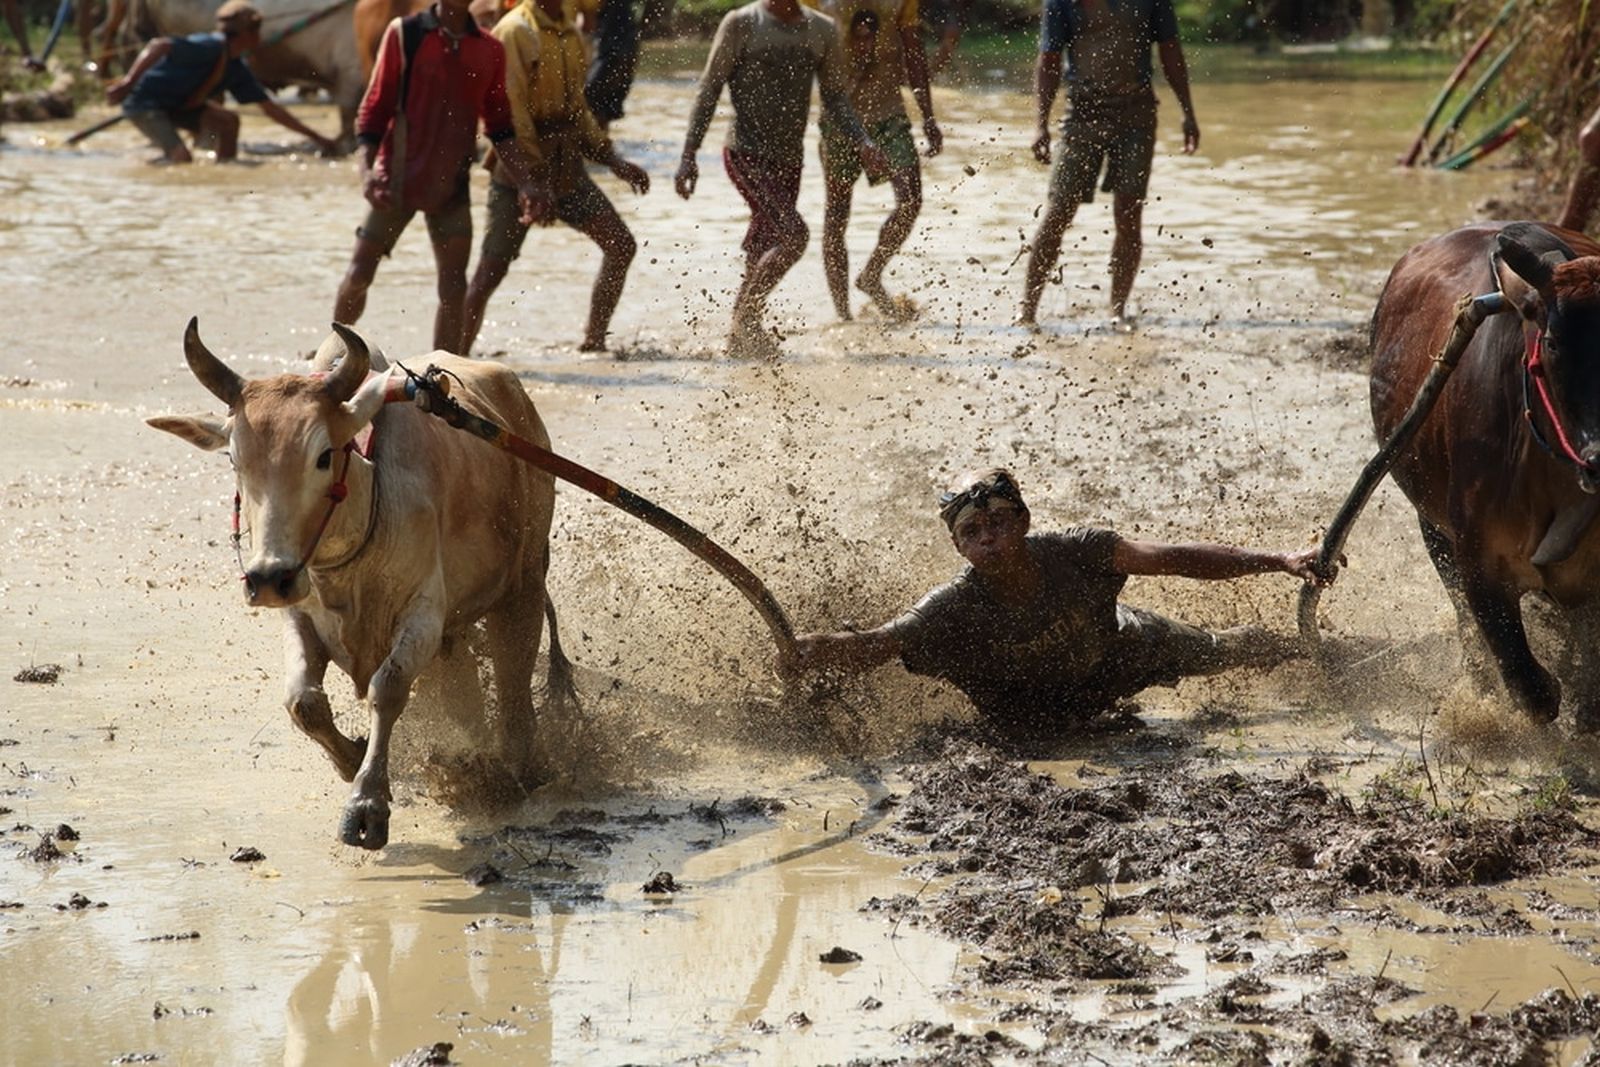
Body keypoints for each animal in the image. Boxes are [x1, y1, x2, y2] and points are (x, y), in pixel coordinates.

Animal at [145, 319, 569, 851]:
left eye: (324, 455)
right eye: (234, 461)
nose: (268, 578)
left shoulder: (423, 615)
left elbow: (386, 690)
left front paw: (366, 805)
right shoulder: (302, 615)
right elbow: (302, 701)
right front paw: (352, 759)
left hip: (522, 589)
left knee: (515, 696)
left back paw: (517, 771)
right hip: (457, 636)